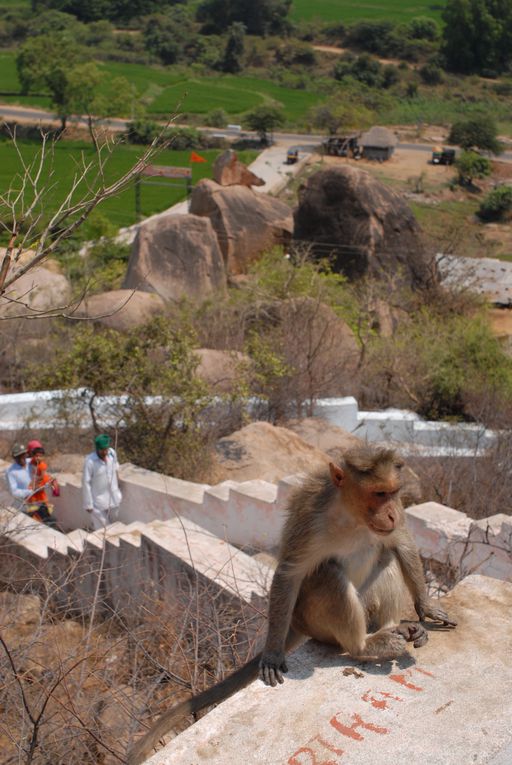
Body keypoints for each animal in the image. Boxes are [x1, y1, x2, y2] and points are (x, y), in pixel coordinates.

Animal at [128, 442, 456, 764]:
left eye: (393, 492)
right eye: (378, 494)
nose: (390, 515)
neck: (352, 516)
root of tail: (298, 622)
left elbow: (401, 543)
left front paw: (426, 607)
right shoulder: (312, 520)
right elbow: (290, 574)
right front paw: (273, 654)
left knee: (385, 555)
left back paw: (397, 629)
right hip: (315, 621)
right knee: (328, 575)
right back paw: (364, 646)